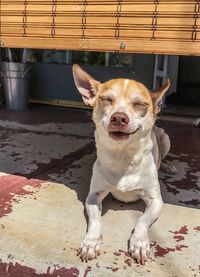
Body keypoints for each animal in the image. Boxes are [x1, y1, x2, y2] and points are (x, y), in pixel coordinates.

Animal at [72, 63, 171, 264]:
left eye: (140, 104)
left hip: (166, 138)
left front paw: (139, 242)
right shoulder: (93, 196)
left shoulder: (155, 200)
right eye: (106, 99)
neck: (124, 156)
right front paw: (91, 241)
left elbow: (142, 221)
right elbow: (96, 221)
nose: (118, 117)